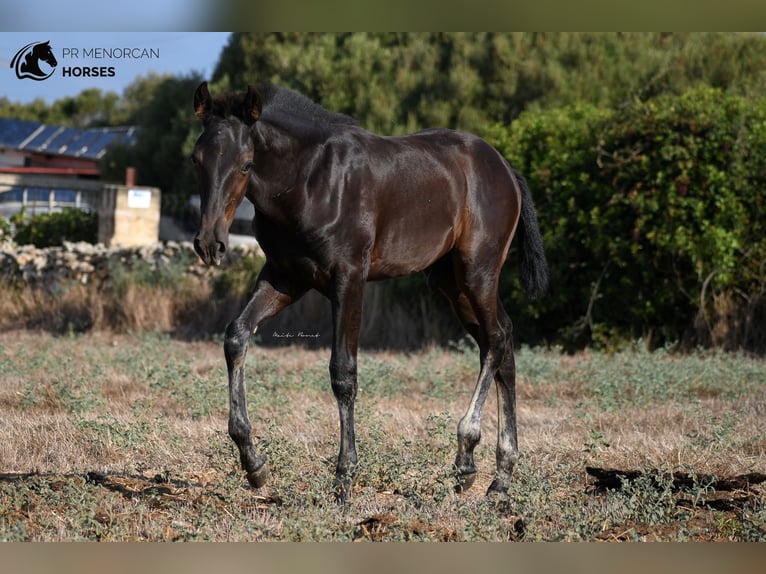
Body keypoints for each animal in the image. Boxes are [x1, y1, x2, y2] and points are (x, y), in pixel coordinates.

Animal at [192, 82, 552, 504]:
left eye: (246, 164)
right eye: (197, 160)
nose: (209, 244)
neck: (309, 180)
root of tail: (505, 168)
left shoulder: (348, 278)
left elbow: (343, 373)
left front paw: (344, 477)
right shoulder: (285, 277)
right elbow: (236, 336)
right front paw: (254, 465)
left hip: (477, 272)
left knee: (496, 340)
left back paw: (469, 455)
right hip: (452, 282)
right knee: (502, 343)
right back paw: (497, 476)